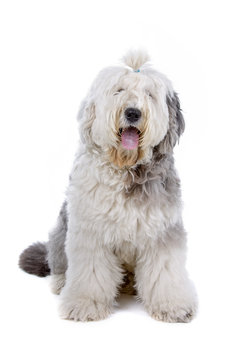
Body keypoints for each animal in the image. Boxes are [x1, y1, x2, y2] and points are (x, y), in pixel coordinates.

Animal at [19, 49, 198, 322]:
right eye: (119, 90)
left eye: (149, 94)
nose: (133, 112)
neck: (127, 168)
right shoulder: (90, 232)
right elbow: (90, 273)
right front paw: (84, 305)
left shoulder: (163, 231)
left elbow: (165, 271)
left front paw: (173, 305)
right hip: (61, 230)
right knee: (57, 262)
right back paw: (61, 282)